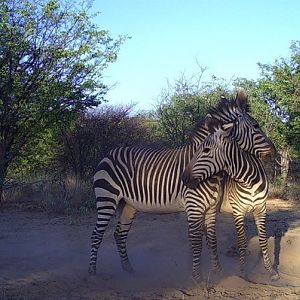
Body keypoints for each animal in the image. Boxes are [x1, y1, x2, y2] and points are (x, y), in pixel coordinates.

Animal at [182, 119, 280, 282]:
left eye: (206, 150)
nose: (184, 178)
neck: (249, 181)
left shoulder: (261, 208)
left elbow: (263, 240)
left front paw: (271, 270)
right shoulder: (238, 211)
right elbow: (242, 241)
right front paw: (242, 273)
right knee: (195, 234)